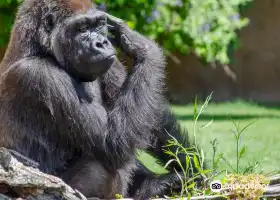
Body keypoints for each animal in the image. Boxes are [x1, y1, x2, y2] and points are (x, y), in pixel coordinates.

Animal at [0, 0, 201, 199]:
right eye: (82, 29)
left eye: (98, 25)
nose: (102, 43)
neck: (38, 48)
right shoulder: (38, 75)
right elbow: (111, 142)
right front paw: (145, 47)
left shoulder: (108, 62)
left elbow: (153, 118)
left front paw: (196, 168)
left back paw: (153, 187)